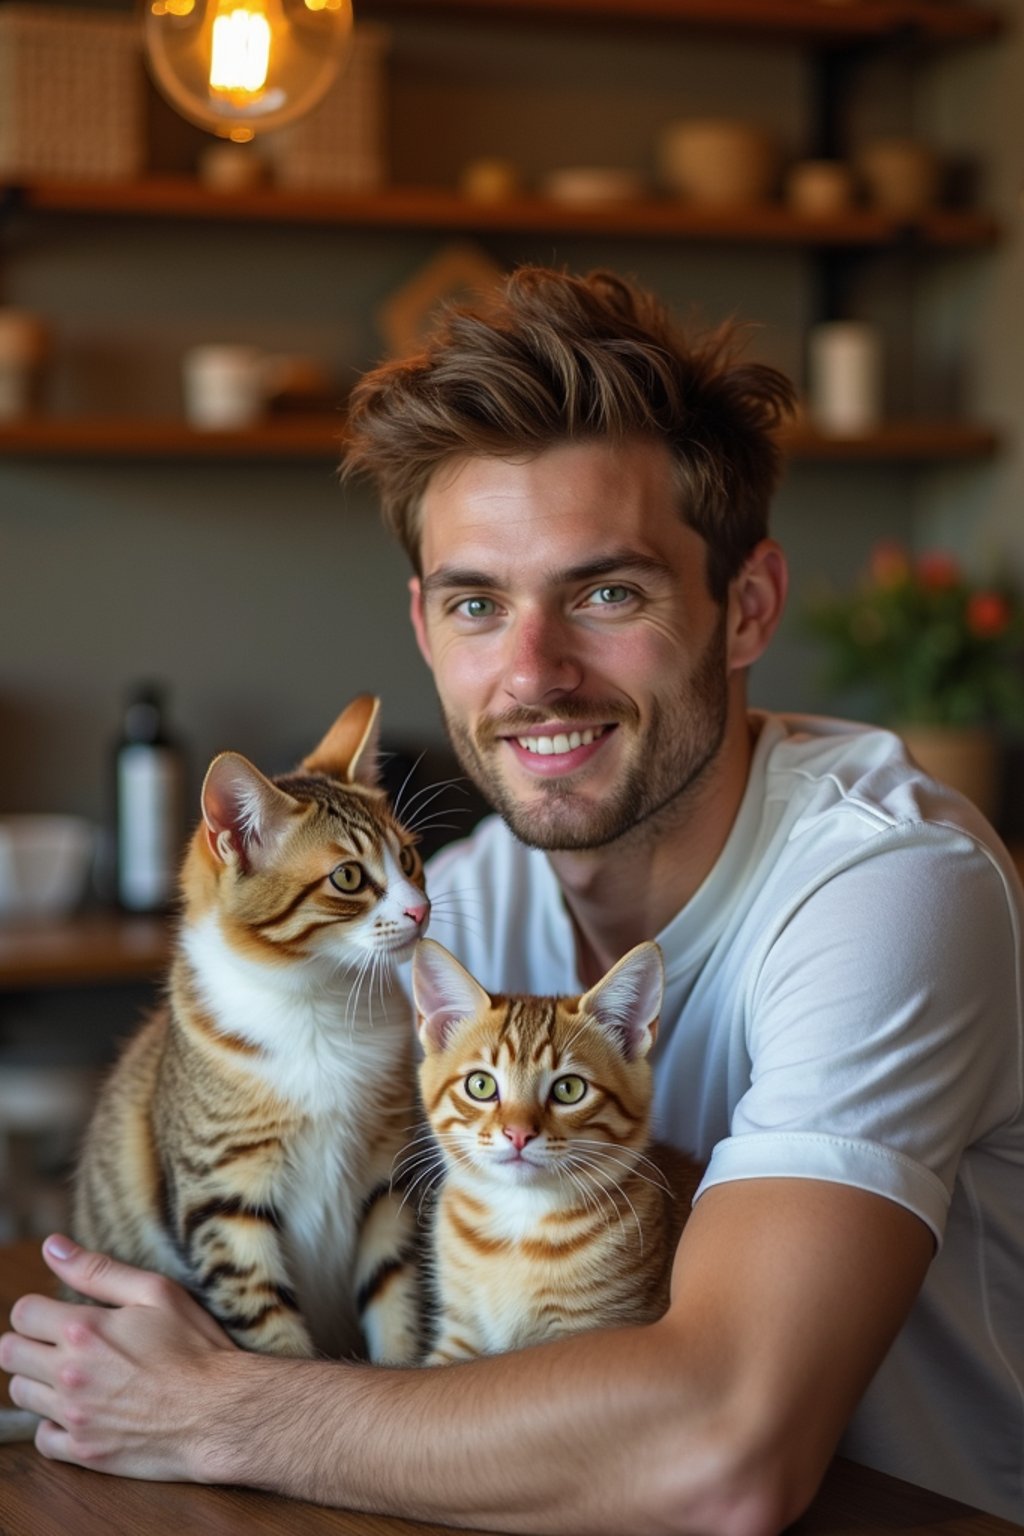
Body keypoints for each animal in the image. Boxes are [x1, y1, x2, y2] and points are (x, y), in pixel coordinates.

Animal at [71, 697, 423, 1357]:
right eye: (348, 877)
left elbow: (398, 1301)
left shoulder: (387, 1183)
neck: (316, 1004)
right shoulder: (222, 1201)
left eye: (410, 859)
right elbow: (271, 1332)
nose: (421, 909)